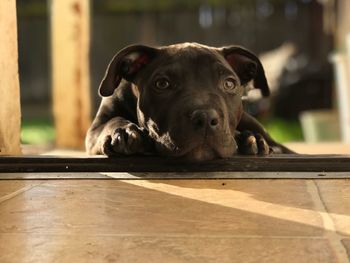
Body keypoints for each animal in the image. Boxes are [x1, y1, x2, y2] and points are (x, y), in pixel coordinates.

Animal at [85, 42, 292, 162]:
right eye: (162, 84)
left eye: (229, 84)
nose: (205, 118)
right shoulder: (95, 129)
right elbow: (111, 122)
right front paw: (125, 131)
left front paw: (246, 138)